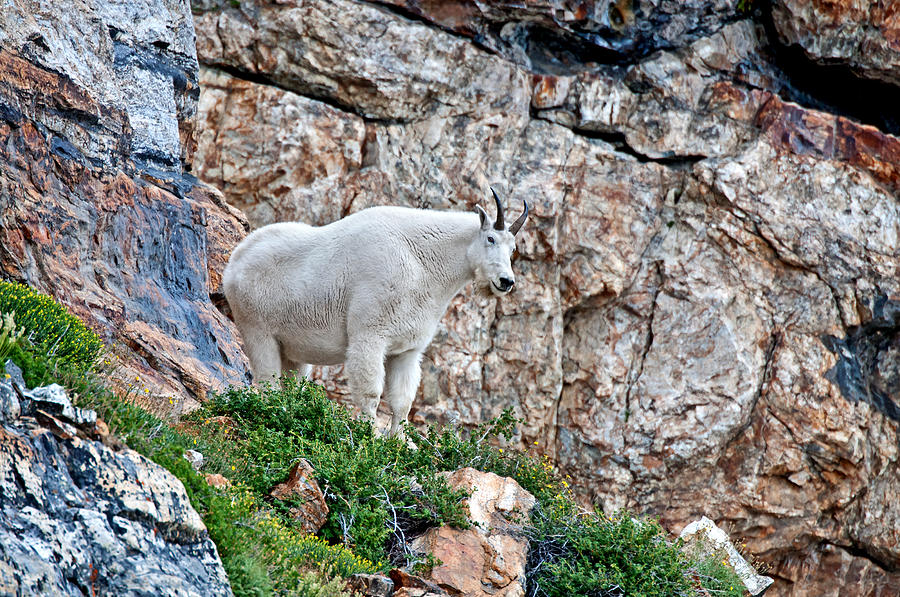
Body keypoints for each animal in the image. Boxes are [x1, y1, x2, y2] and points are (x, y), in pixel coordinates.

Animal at [223, 191, 528, 434]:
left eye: (513, 247)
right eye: (490, 238)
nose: (506, 281)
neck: (421, 261)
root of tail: (235, 260)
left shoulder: (407, 350)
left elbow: (403, 401)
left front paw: (399, 443)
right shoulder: (369, 336)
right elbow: (371, 393)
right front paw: (369, 439)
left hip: (292, 349)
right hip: (256, 328)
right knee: (267, 382)